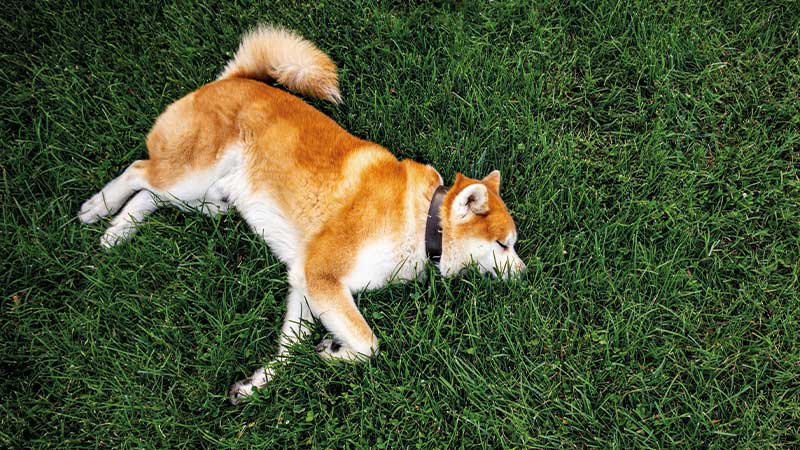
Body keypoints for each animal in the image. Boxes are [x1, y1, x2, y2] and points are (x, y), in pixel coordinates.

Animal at [78, 25, 528, 404]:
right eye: (503, 245)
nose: (526, 275)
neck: (421, 222)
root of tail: (234, 78)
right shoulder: (321, 276)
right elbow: (370, 344)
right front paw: (334, 351)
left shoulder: (305, 285)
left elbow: (290, 348)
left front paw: (259, 383)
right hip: (192, 173)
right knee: (138, 171)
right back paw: (98, 209)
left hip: (199, 193)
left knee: (149, 197)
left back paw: (118, 233)